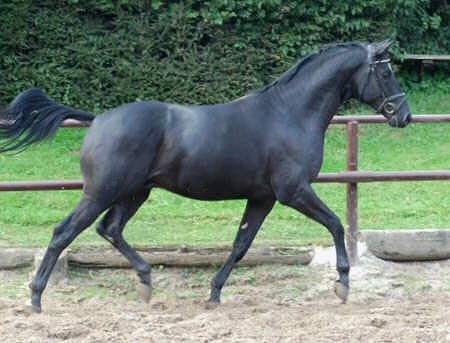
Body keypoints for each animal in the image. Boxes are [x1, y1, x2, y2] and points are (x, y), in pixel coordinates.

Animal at [0, 39, 410, 314]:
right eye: (385, 70)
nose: (403, 115)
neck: (290, 113)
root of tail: (98, 119)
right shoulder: (293, 191)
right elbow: (337, 224)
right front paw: (343, 284)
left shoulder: (263, 197)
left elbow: (240, 245)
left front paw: (213, 293)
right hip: (102, 191)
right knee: (64, 232)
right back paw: (36, 297)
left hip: (134, 193)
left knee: (109, 229)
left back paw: (145, 282)